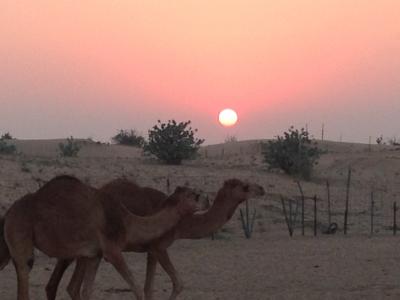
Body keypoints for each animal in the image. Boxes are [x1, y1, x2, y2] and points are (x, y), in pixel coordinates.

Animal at [0, 176, 200, 300]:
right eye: (194, 196)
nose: (203, 199)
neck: (128, 221)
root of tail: (8, 213)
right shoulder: (112, 251)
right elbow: (136, 288)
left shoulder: (93, 255)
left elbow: (86, 291)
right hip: (20, 231)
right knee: (25, 270)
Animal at [45, 178, 264, 300]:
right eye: (245, 187)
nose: (262, 189)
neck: (182, 223)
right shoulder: (159, 247)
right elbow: (177, 283)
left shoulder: (150, 250)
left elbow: (149, 288)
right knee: (68, 285)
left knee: (63, 285)